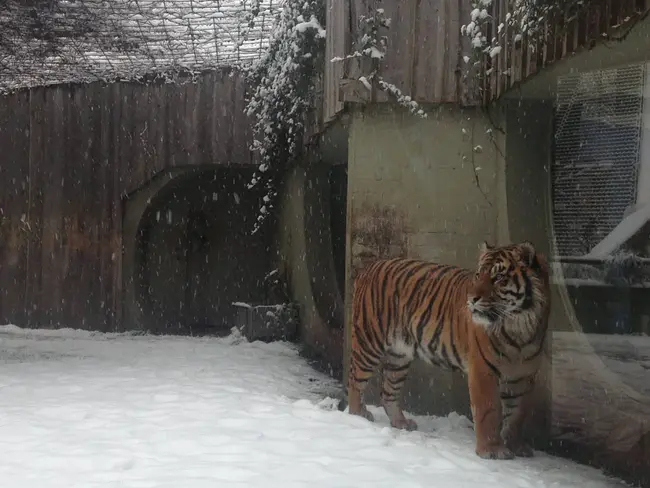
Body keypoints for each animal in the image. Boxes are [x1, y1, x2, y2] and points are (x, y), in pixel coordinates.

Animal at [342, 242, 548, 460]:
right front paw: (492, 450)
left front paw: (516, 447)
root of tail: (369, 267)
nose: (472, 299)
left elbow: (517, 415)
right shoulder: (483, 370)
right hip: (369, 342)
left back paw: (401, 422)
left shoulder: (522, 377)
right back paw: (358, 415)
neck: (520, 327)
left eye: (499, 277)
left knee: (388, 391)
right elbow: (489, 410)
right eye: (478, 275)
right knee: (356, 381)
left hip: (399, 355)